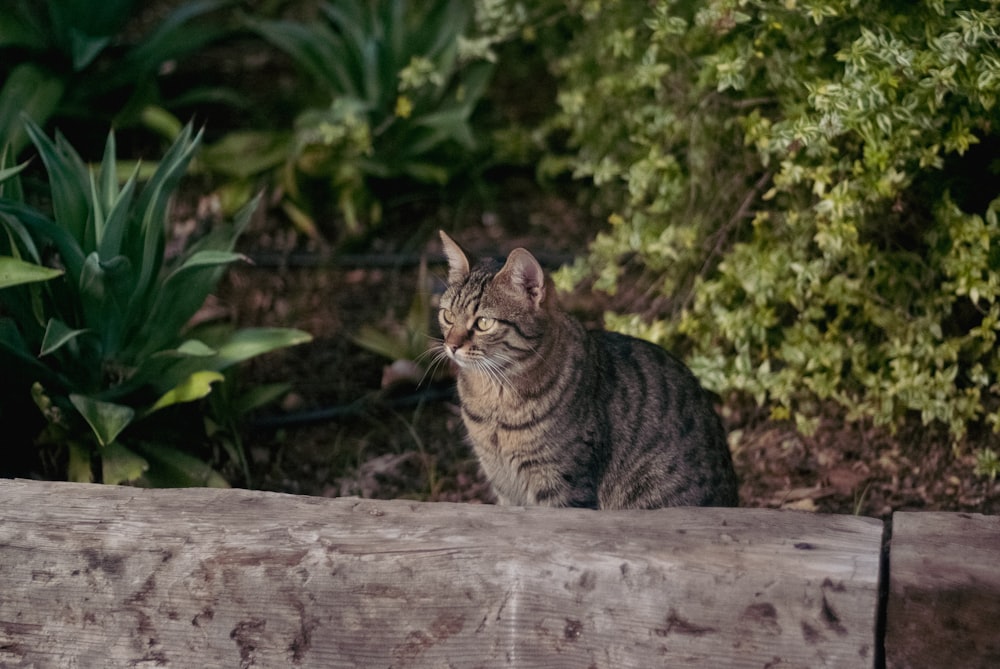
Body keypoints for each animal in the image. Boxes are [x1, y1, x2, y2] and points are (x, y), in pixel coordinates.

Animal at [434, 232, 740, 508]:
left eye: (483, 323)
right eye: (447, 315)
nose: (451, 346)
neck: (494, 400)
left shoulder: (561, 484)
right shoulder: (503, 485)